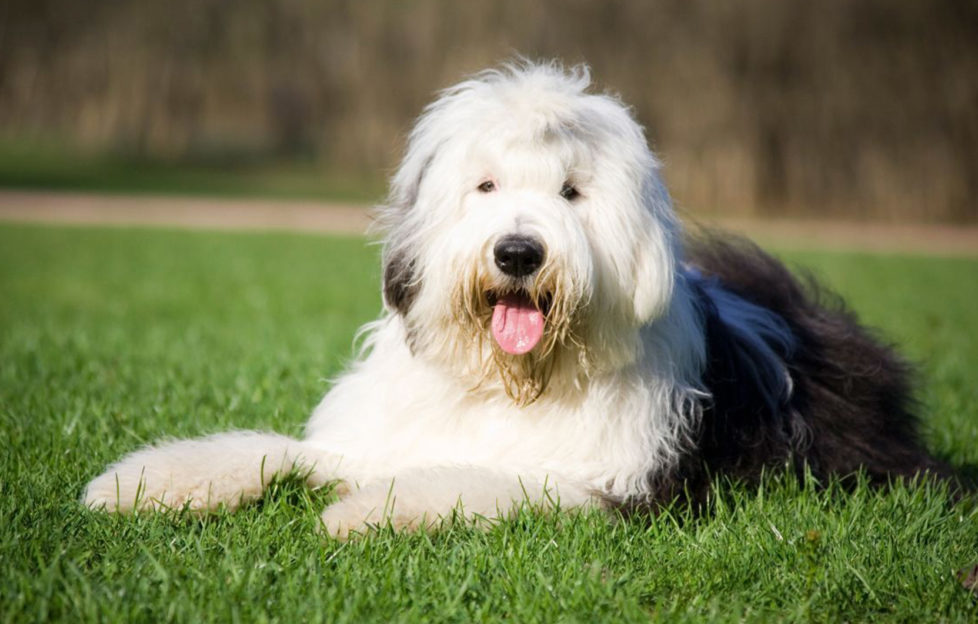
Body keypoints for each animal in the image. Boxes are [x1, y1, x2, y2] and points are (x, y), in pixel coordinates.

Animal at [82, 63, 944, 540]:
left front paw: (364, 512)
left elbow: (483, 480)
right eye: (486, 186)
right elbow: (271, 450)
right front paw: (141, 485)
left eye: (571, 192)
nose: (520, 254)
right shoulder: (375, 435)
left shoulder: (614, 483)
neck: (510, 381)